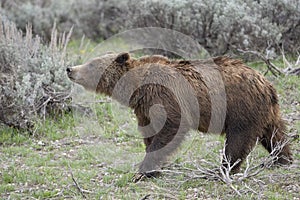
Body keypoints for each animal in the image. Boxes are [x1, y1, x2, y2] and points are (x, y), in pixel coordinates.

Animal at [66, 52, 292, 181]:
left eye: (92, 64)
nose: (70, 69)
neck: (137, 87)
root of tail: (266, 83)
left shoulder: (165, 97)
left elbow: (170, 127)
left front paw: (143, 171)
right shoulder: (144, 108)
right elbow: (150, 133)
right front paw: (153, 169)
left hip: (240, 108)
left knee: (238, 140)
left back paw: (224, 169)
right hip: (265, 111)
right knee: (275, 134)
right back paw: (282, 158)